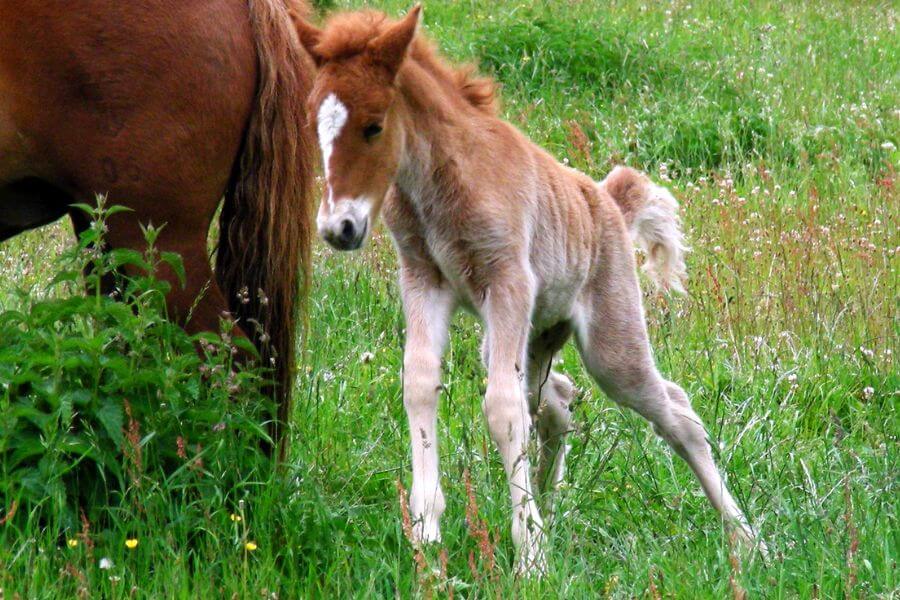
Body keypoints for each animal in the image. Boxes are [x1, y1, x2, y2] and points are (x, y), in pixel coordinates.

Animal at [296, 7, 768, 576]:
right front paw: (427, 538)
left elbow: (502, 409)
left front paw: (531, 559)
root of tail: (606, 199)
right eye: (313, 124)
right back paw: (548, 504)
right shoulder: (423, 279)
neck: (440, 181)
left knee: (673, 412)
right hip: (537, 333)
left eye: (373, 125)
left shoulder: (508, 282)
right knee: (557, 399)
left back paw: (748, 539)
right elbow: (421, 385)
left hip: (608, 344)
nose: (338, 228)